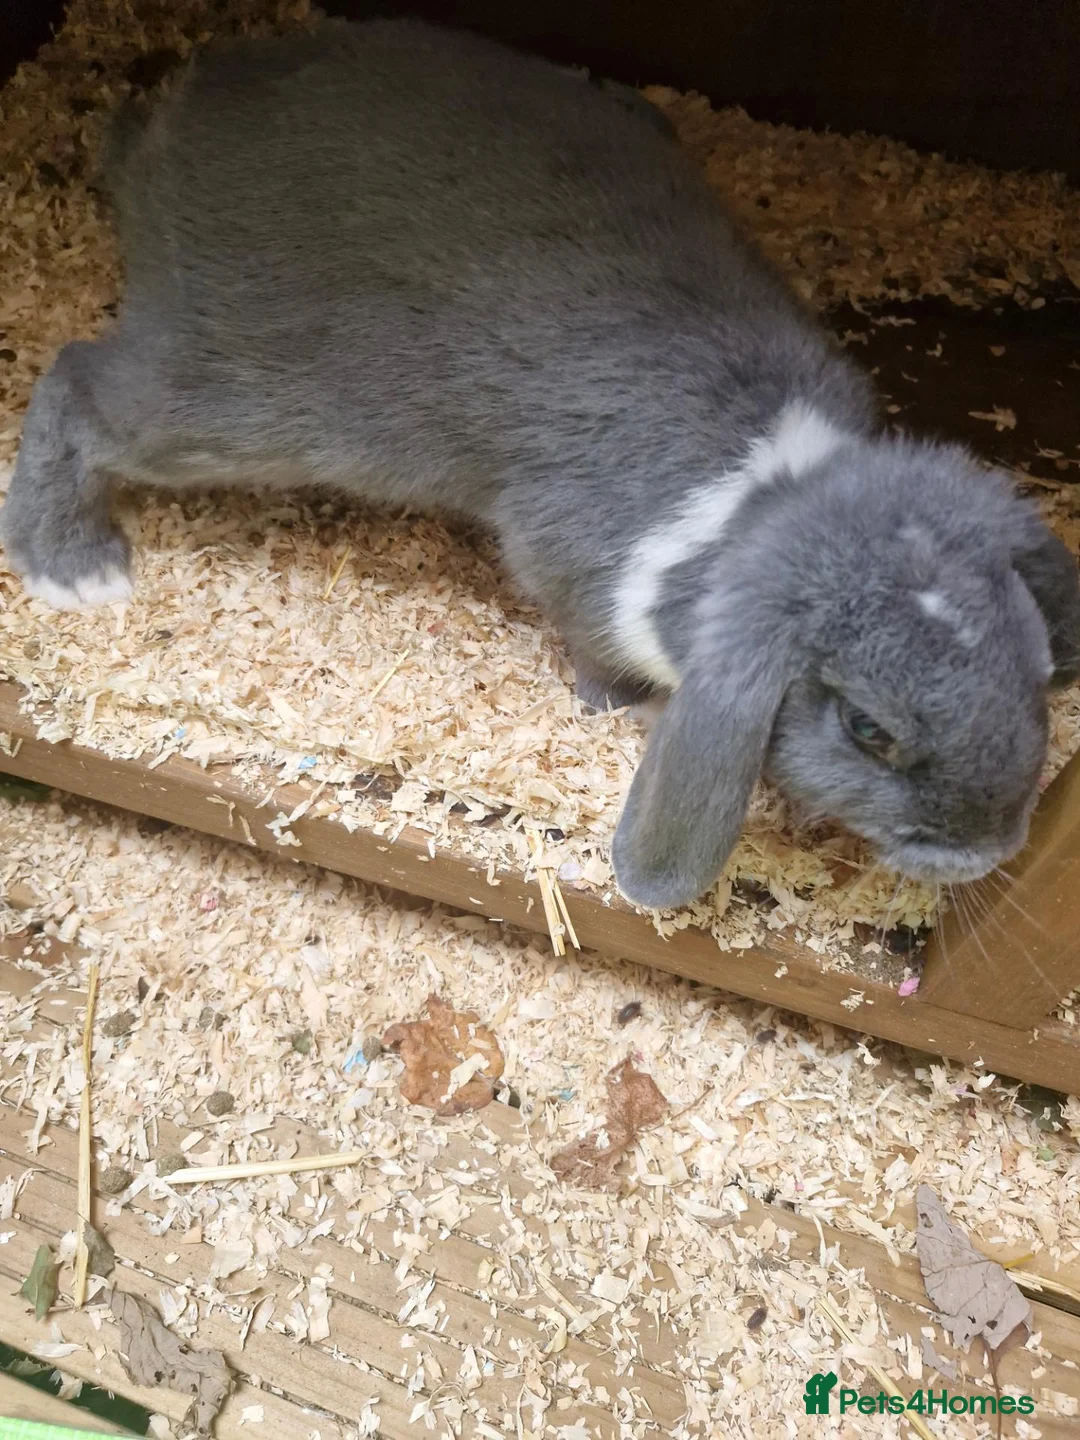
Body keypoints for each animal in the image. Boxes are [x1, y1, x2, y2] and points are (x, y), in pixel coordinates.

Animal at [3, 19, 1078, 912]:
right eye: (866, 729)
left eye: (1032, 667)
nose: (980, 855)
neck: (768, 492)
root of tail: (160, 137)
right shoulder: (575, 567)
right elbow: (593, 644)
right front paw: (614, 707)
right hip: (232, 399)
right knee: (77, 381)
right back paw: (74, 568)